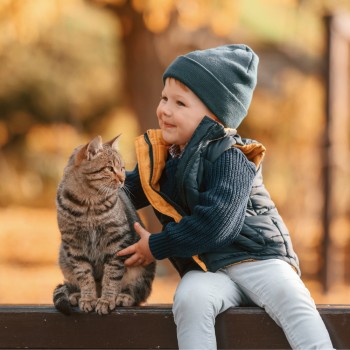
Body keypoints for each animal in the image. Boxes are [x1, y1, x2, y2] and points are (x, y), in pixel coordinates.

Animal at [53, 135, 154, 316]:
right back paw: (76, 295)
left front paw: (106, 300)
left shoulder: (117, 242)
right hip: (63, 257)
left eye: (122, 168)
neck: (88, 202)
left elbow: (111, 276)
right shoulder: (74, 244)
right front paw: (88, 298)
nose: (123, 179)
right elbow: (84, 275)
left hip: (143, 268)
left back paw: (124, 296)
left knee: (140, 291)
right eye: (110, 168)